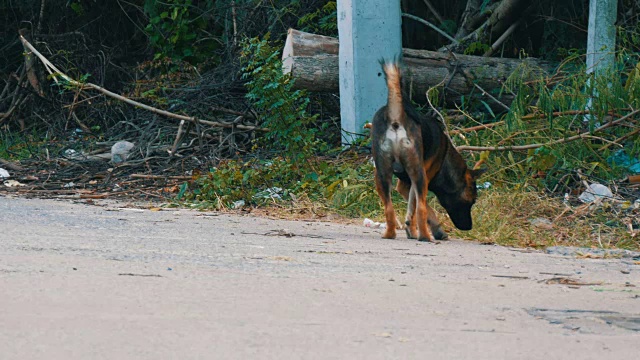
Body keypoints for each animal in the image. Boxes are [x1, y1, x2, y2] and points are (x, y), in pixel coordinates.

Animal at [370, 61, 484, 242]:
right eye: (471, 201)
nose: (469, 227)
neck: (445, 161)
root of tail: (396, 117)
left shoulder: (404, 185)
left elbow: (411, 209)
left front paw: (411, 231)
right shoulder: (421, 179)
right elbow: (422, 208)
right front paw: (436, 230)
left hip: (381, 174)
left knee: (389, 209)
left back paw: (389, 234)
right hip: (418, 174)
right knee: (420, 209)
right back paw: (425, 236)